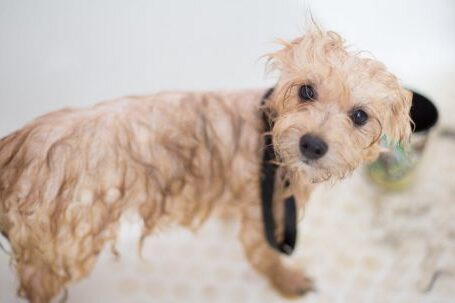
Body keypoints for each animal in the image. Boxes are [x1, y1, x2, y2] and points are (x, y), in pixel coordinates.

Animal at [0, 27, 414, 302]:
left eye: (359, 116)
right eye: (306, 90)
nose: (312, 143)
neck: (268, 134)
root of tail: (16, 147)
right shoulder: (262, 213)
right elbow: (263, 257)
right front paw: (288, 282)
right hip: (64, 245)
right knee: (37, 280)